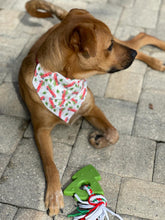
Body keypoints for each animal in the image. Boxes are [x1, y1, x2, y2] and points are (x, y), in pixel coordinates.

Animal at [18, 0, 165, 217]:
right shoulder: (40, 130)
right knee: (139, 39)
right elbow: (51, 165)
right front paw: (54, 196)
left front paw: (100, 139)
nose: (132, 55)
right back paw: (149, 58)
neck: (67, 80)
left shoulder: (91, 108)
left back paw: (153, 58)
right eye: (109, 46)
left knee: (141, 38)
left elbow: (114, 133)